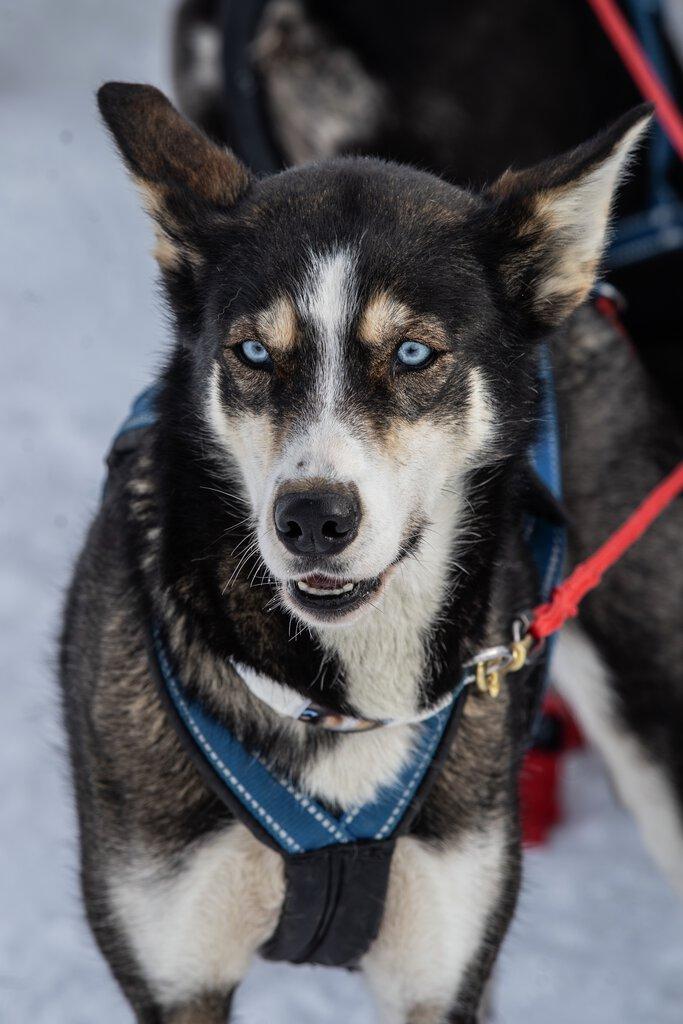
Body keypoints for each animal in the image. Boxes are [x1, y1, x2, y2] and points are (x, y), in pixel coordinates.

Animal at [60, 81, 683, 1024]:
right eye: (251, 351)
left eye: (413, 352)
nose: (313, 518)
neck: (340, 704)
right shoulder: (176, 972)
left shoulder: (440, 973)